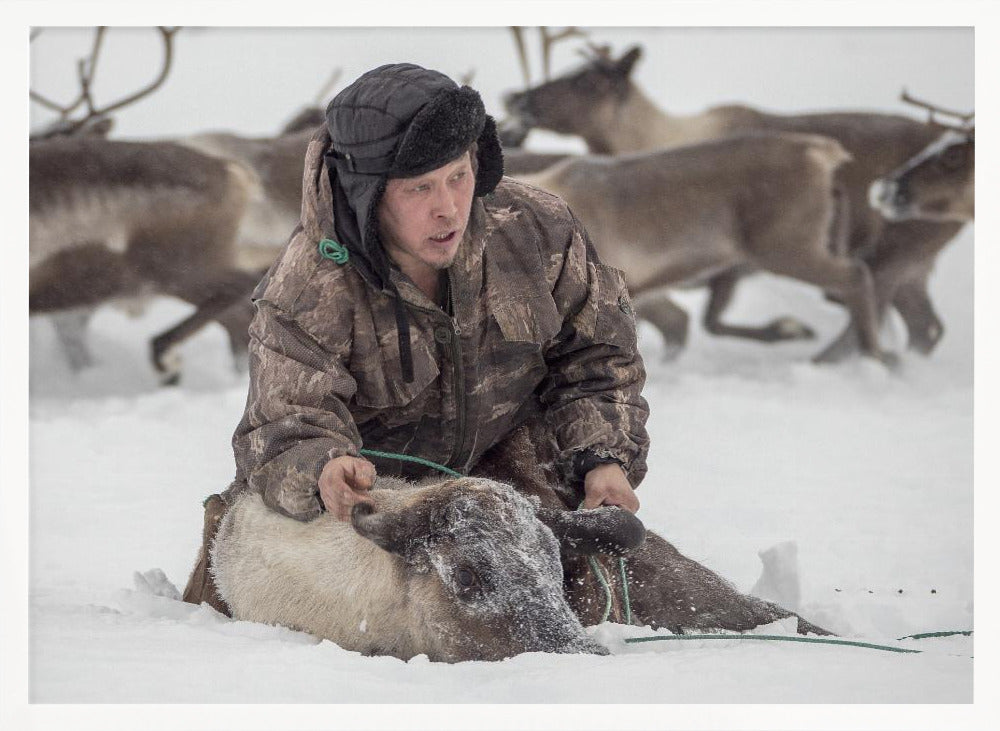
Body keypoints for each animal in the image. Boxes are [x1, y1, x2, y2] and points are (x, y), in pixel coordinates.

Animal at [502, 36, 970, 359]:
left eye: (589, 79)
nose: (516, 99)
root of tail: (825, 156)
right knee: (923, 325)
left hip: (802, 246)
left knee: (862, 283)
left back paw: (861, 360)